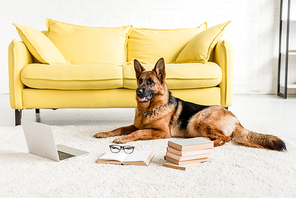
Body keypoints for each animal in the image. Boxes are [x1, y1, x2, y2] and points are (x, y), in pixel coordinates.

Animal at [95, 58, 286, 151]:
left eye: (150, 82)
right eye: (140, 81)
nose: (138, 91)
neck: (149, 110)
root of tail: (236, 120)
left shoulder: (161, 132)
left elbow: (138, 132)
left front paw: (123, 139)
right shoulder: (134, 124)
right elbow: (119, 128)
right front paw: (104, 133)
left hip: (198, 119)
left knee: (225, 138)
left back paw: (211, 144)